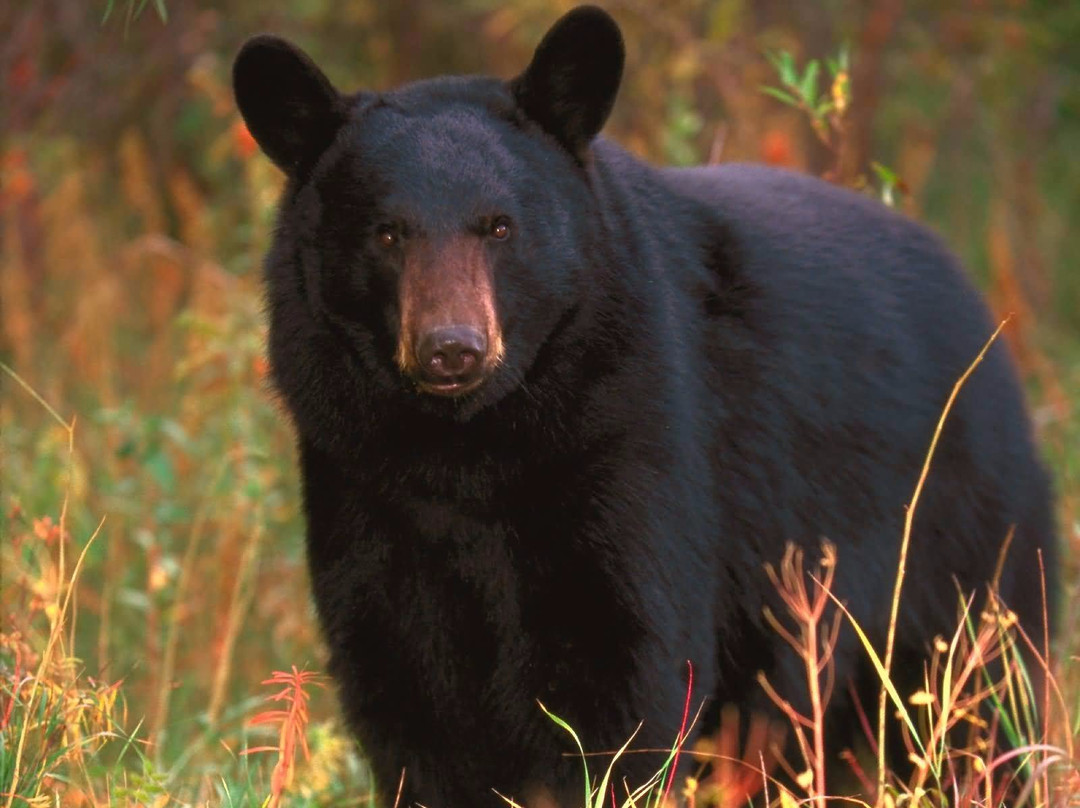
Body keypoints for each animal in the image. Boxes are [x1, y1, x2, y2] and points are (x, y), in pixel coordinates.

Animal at [234, 7, 1054, 808]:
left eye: (500, 226)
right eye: (387, 232)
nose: (451, 349)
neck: (469, 448)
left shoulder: (630, 437)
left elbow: (622, 669)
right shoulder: (361, 477)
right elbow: (406, 688)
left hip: (959, 542)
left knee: (978, 704)